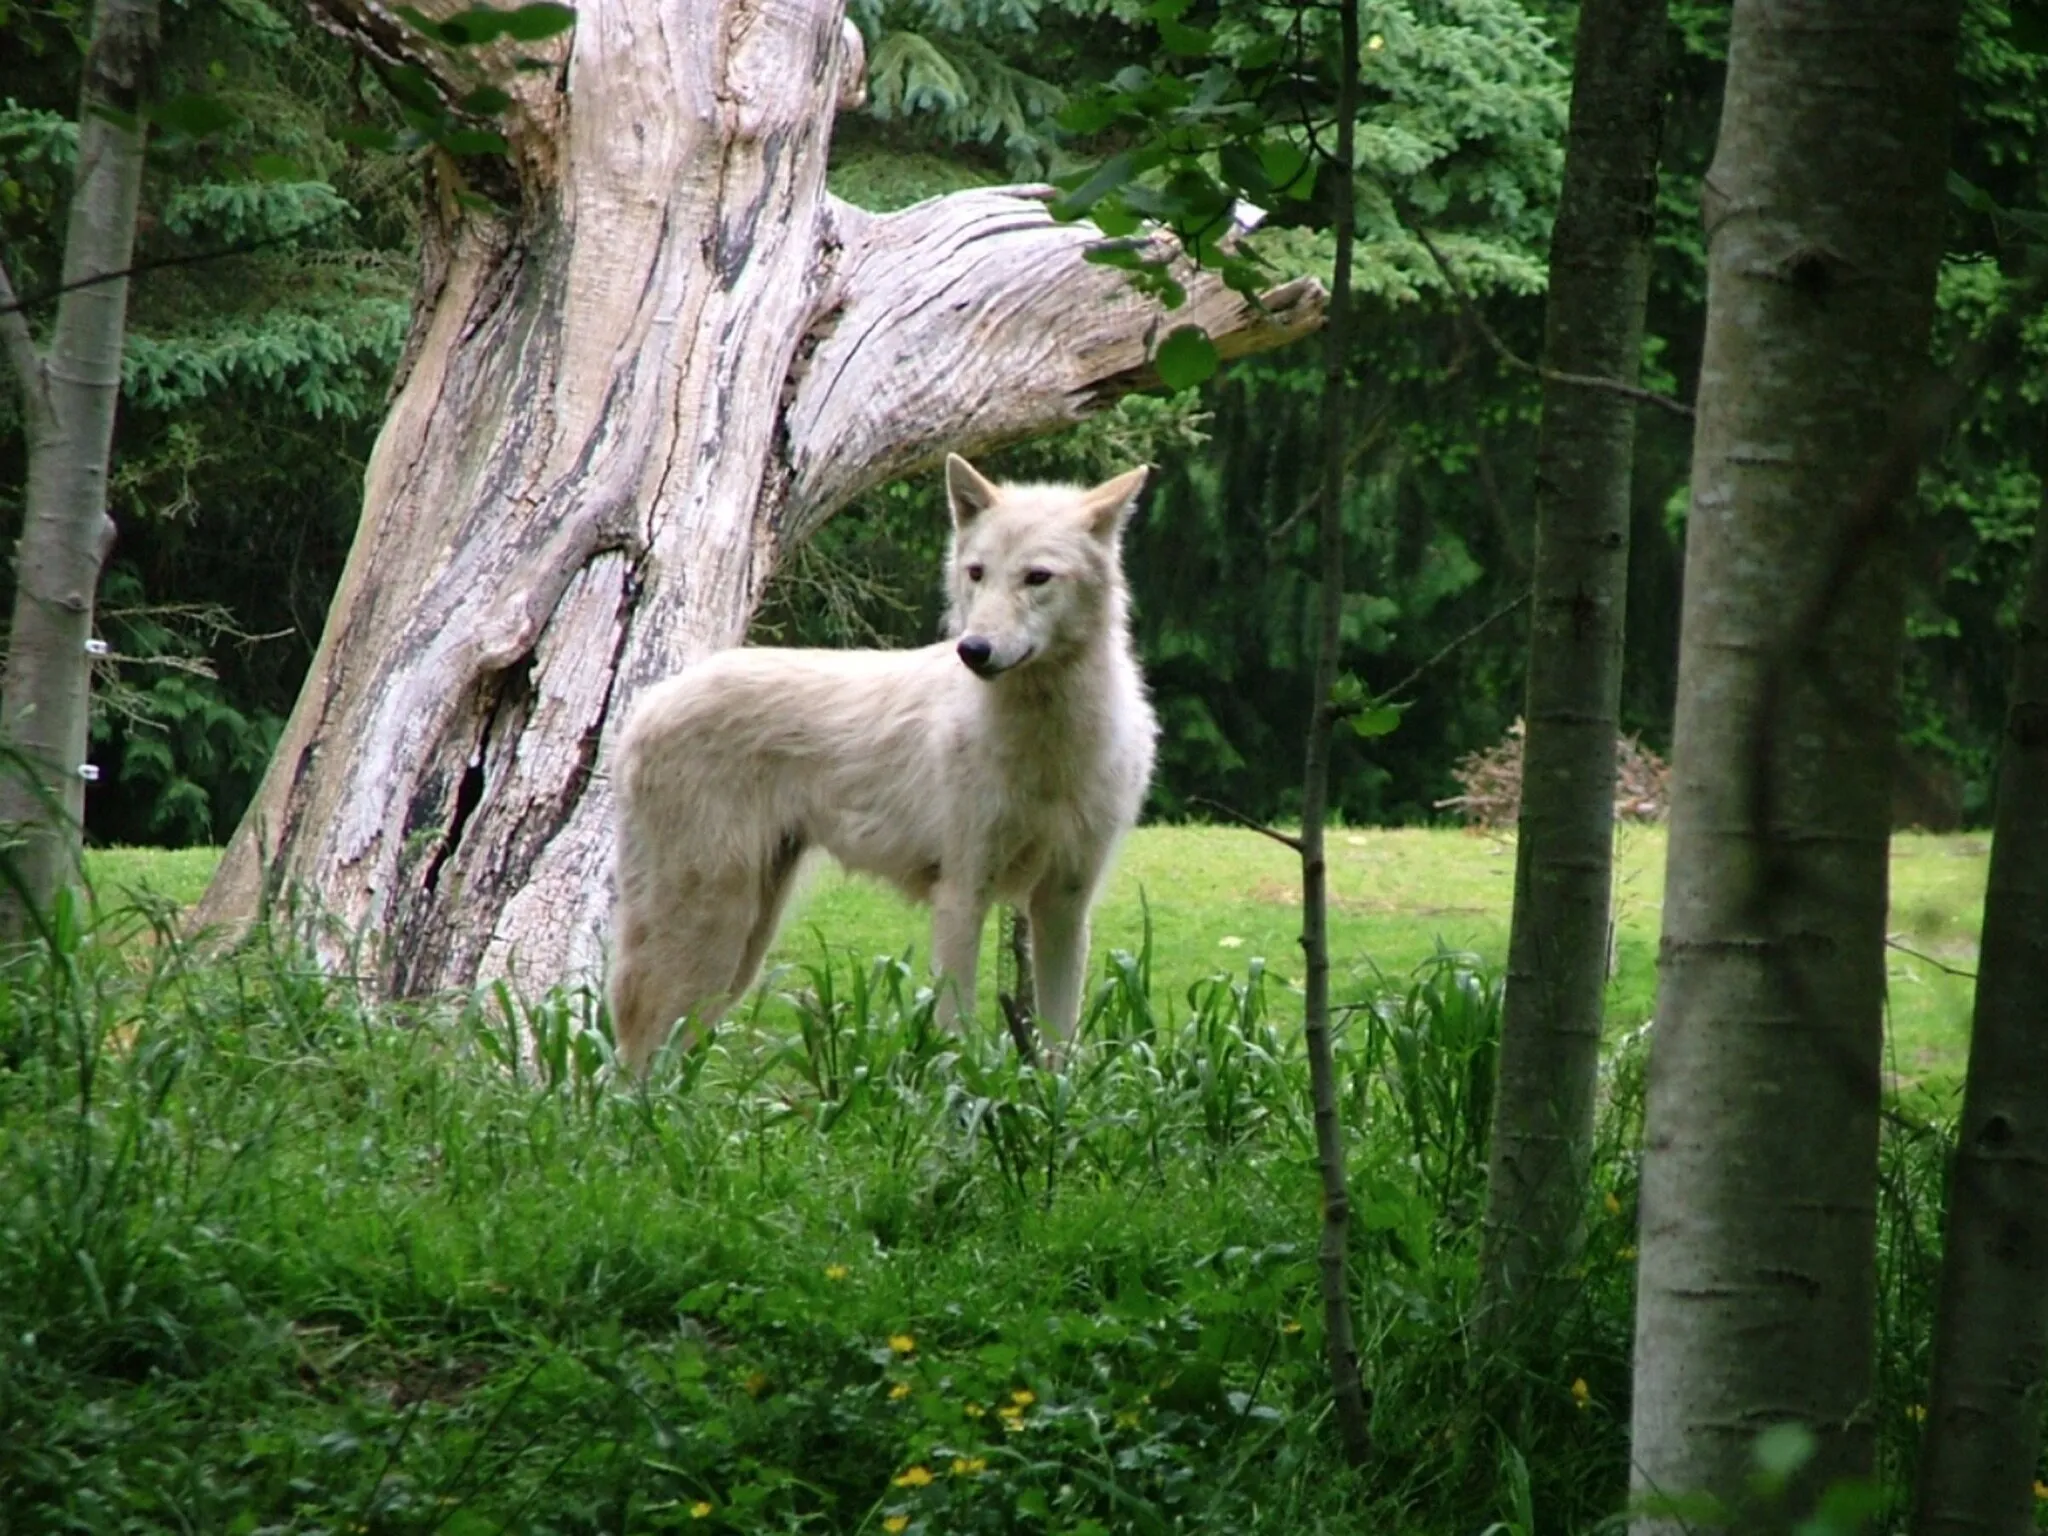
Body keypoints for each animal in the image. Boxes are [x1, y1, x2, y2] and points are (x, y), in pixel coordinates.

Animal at [607, 454, 1159, 1072]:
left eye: (1037, 577)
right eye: (977, 573)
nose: (973, 651)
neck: (1048, 748)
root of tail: (649, 702)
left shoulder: (1064, 905)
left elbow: (1060, 1050)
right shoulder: (962, 896)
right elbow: (956, 1041)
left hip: (740, 951)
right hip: (709, 937)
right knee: (633, 1057)